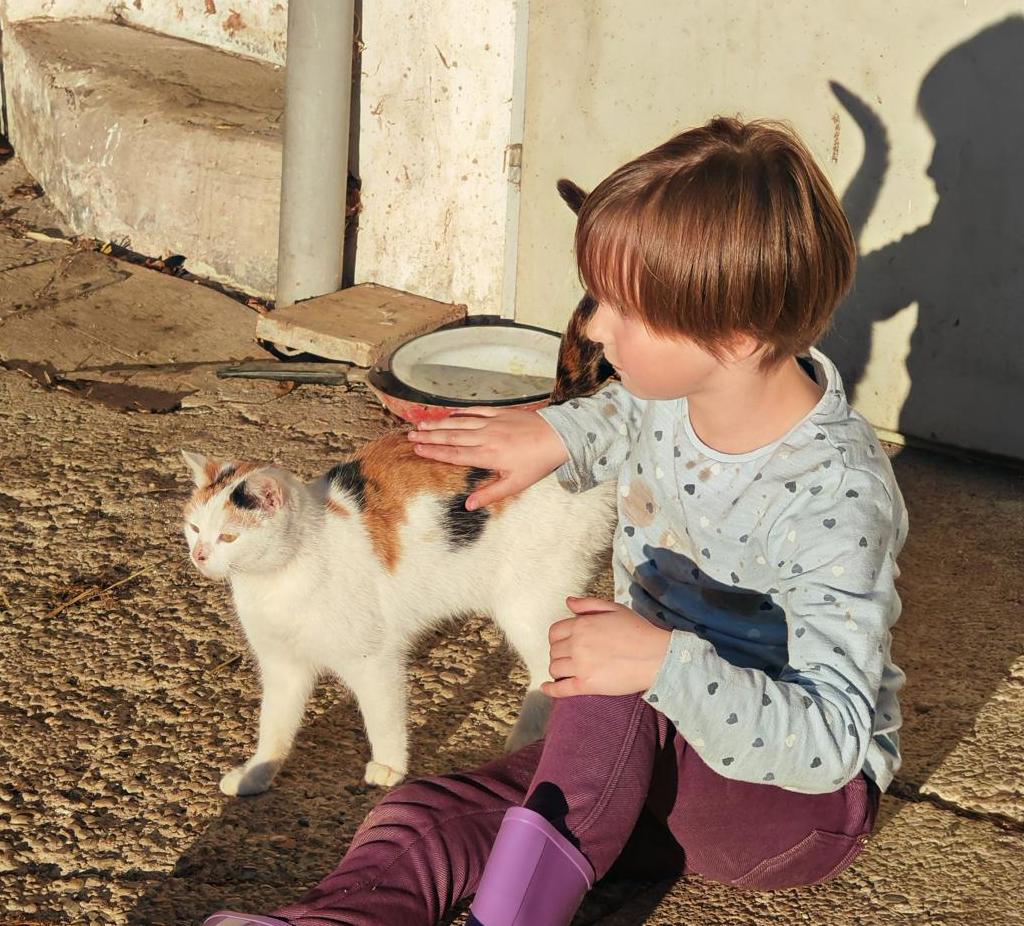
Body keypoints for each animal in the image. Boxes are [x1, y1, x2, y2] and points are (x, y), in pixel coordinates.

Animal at [181, 180, 618, 796]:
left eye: (228, 538)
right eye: (194, 527)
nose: (199, 556)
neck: (280, 580)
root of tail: (556, 414)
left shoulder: (374, 659)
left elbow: (382, 715)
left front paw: (388, 768)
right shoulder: (284, 667)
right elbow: (275, 724)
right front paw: (258, 773)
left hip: (530, 598)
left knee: (549, 671)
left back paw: (525, 738)